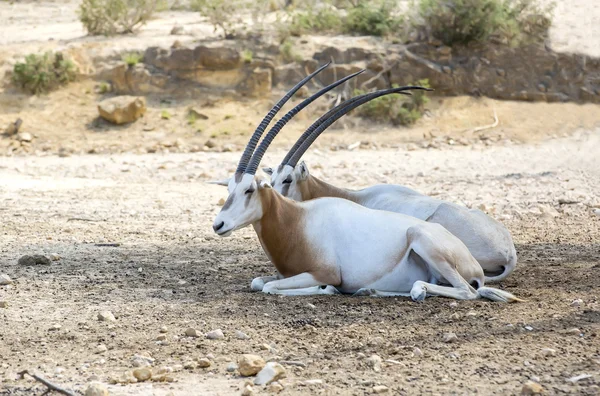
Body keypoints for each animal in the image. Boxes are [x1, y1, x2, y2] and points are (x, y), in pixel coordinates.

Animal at [212, 63, 520, 302]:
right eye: (230, 189)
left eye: (249, 189)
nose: (218, 225)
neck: (297, 220)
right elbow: (258, 282)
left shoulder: (324, 271)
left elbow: (272, 287)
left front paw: (326, 290)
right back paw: (369, 291)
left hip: (425, 242)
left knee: (464, 291)